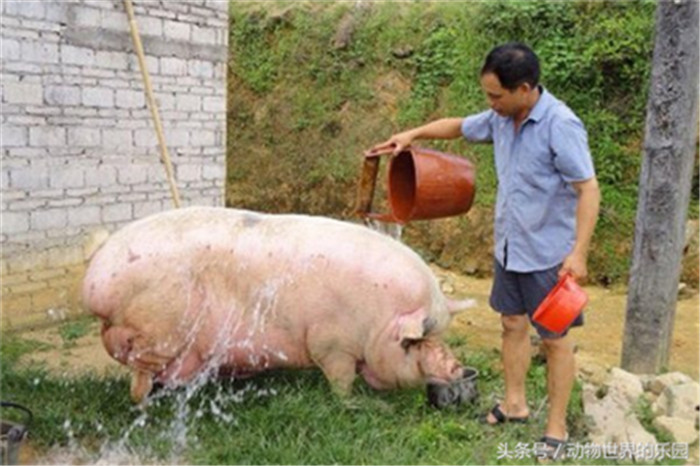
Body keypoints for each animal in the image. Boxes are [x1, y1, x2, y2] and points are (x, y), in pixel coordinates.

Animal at [83, 206, 476, 402]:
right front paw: (358, 403)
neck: (376, 319)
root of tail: (95, 279)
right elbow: (341, 380)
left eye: (440, 335)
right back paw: (146, 401)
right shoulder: (330, 342)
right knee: (140, 377)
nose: (458, 368)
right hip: (158, 330)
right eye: (415, 341)